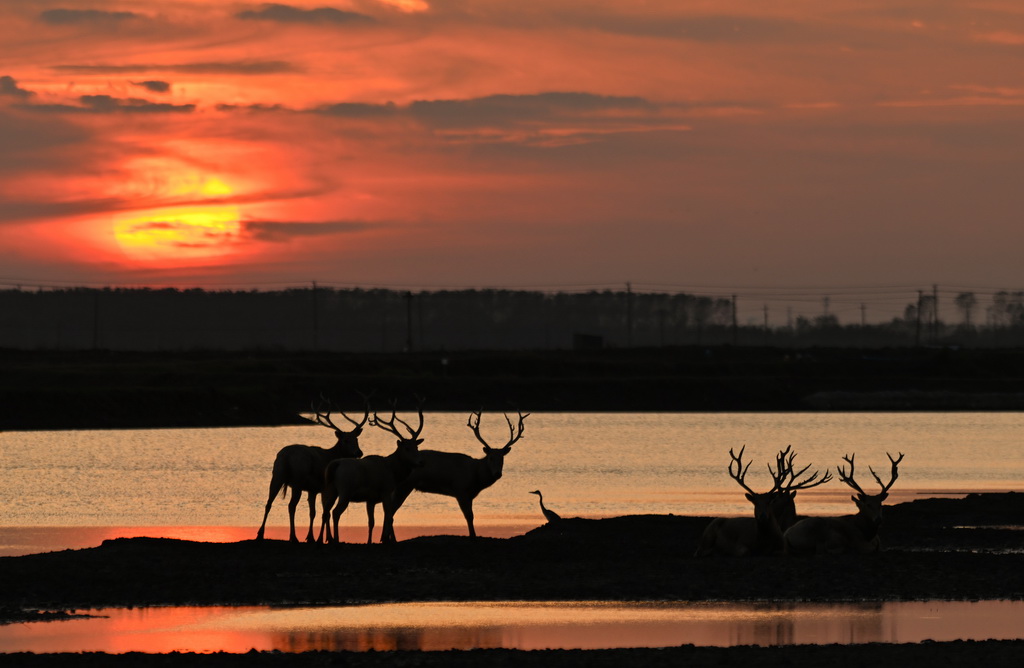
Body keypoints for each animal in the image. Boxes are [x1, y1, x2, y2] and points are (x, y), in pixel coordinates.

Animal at [256, 397, 368, 540]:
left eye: (356, 439)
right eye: (345, 440)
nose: (359, 452)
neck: (332, 455)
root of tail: (286, 456)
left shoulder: (313, 489)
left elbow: (313, 512)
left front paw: (311, 536)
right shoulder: (326, 487)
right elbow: (326, 512)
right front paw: (327, 538)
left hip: (277, 475)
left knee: (268, 503)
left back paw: (260, 533)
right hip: (297, 480)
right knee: (291, 505)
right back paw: (293, 536)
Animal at [315, 399, 419, 545]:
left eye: (417, 447)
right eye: (407, 448)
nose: (419, 462)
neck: (393, 472)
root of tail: (335, 464)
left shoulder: (370, 499)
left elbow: (371, 522)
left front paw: (370, 541)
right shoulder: (386, 491)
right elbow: (389, 517)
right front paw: (386, 540)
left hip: (331, 490)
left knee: (326, 512)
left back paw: (324, 539)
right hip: (346, 491)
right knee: (335, 512)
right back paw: (336, 540)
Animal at [382, 409, 532, 540]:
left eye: (502, 458)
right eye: (490, 457)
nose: (497, 473)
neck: (475, 476)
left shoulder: (470, 494)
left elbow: (471, 515)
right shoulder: (460, 489)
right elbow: (469, 516)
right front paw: (473, 536)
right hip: (404, 485)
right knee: (391, 511)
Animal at [692, 442, 835, 557]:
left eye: (770, 501)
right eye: (754, 502)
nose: (763, 516)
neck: (763, 542)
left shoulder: (783, 548)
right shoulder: (741, 544)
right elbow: (743, 551)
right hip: (708, 534)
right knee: (699, 551)